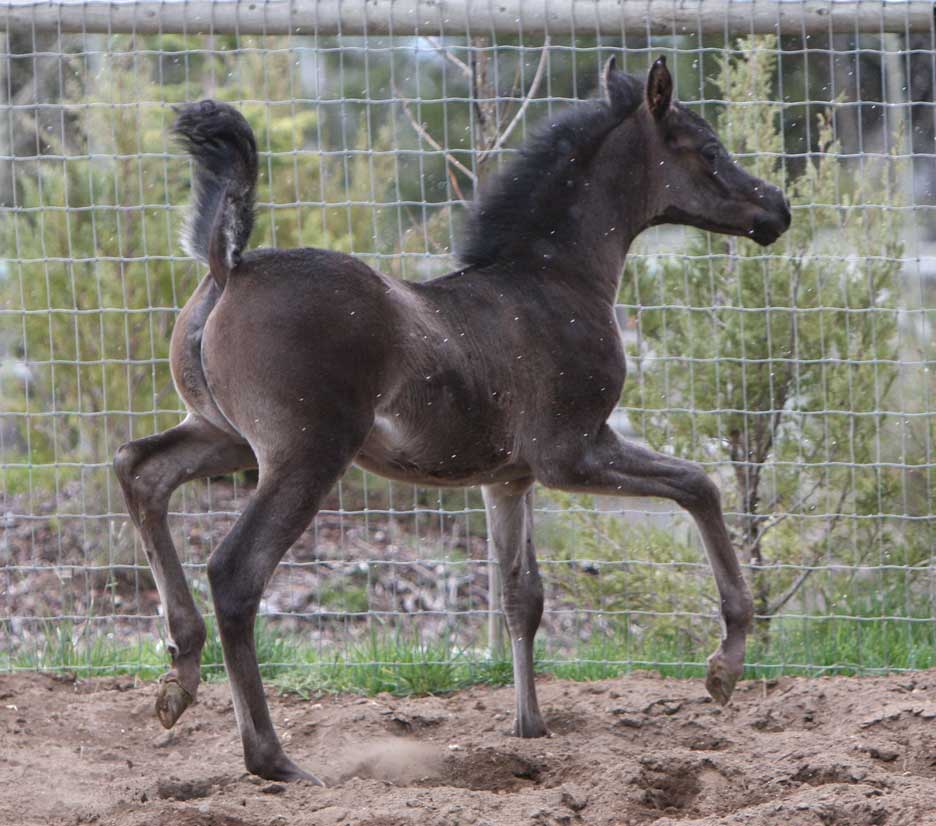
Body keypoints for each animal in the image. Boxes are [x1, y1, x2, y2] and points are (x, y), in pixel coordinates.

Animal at [115, 56, 788, 780]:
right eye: (710, 149)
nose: (777, 207)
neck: (555, 283)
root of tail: (227, 265)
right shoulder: (571, 453)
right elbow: (700, 485)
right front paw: (725, 667)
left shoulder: (508, 478)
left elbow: (523, 596)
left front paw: (530, 729)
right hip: (307, 452)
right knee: (235, 570)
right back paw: (272, 758)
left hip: (225, 437)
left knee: (140, 469)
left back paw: (179, 677)